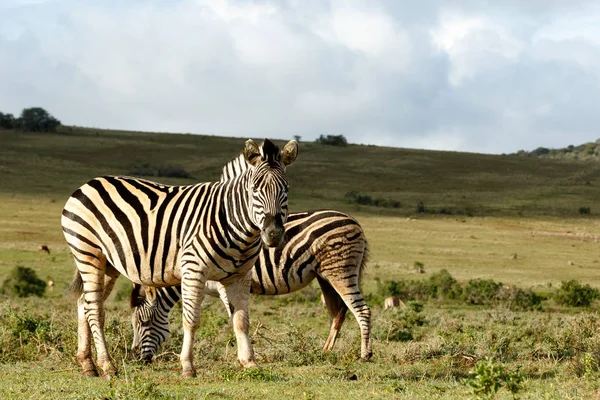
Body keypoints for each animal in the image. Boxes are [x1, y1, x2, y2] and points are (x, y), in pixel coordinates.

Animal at [62, 138, 298, 378]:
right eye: (255, 189)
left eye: (286, 189)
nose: (273, 234)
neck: (233, 222)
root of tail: (90, 183)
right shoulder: (194, 270)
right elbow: (191, 320)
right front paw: (187, 366)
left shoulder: (239, 276)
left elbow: (241, 321)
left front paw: (249, 363)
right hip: (87, 252)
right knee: (95, 309)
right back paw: (107, 365)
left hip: (109, 264)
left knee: (84, 303)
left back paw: (88, 364)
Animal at [131, 209, 372, 362]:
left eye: (144, 322)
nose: (135, 357)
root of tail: (354, 221)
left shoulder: (223, 285)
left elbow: (234, 319)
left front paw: (243, 354)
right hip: (325, 276)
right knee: (337, 313)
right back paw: (325, 351)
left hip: (341, 271)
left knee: (362, 310)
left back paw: (364, 355)